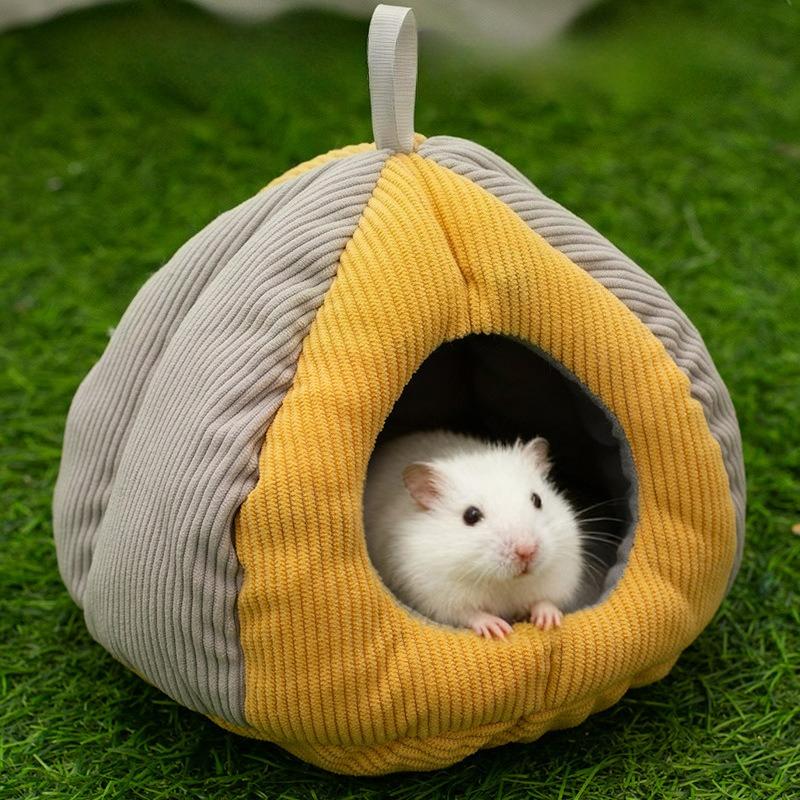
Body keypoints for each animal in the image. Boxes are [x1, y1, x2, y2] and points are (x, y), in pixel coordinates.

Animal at [363, 430, 584, 639]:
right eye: (471, 515)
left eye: (537, 500)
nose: (527, 551)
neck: (503, 583)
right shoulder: (436, 594)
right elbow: (470, 614)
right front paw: (497, 630)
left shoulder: (559, 574)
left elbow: (545, 600)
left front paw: (549, 621)